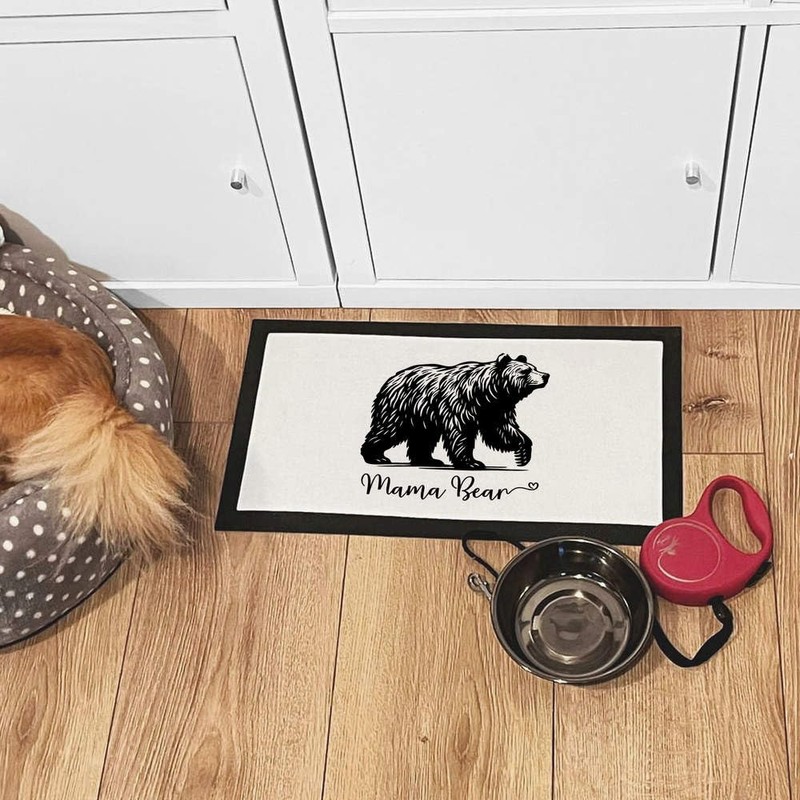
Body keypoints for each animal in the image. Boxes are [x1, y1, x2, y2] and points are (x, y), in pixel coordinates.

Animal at [361, 353, 549, 470]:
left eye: (534, 367)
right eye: (525, 371)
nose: (545, 375)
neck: (486, 393)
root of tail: (391, 379)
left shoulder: (494, 410)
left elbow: (503, 431)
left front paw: (522, 454)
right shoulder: (459, 405)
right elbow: (461, 433)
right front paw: (472, 463)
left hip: (423, 415)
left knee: (423, 437)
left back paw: (429, 460)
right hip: (400, 407)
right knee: (388, 429)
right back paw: (376, 456)